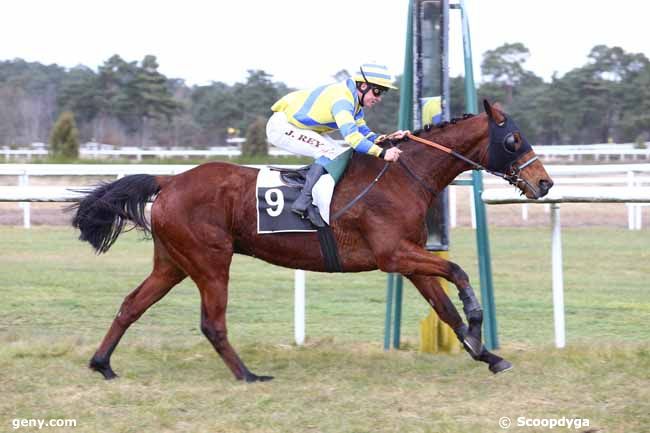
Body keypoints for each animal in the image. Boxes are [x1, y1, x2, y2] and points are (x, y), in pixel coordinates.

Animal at [74, 100, 552, 382]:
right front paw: (477, 325)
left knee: (131, 304)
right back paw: (248, 375)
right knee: (212, 323)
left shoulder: (410, 259)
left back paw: (103, 364)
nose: (544, 182)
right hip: (210, 261)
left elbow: (445, 308)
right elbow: (457, 271)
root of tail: (170, 180)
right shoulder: (393, 255)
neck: (401, 175)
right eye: (514, 139)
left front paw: (487, 355)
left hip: (172, 262)